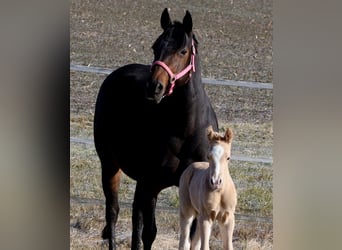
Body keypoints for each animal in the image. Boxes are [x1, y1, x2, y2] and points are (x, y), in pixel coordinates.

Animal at [92, 8, 218, 250]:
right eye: (155, 47)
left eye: (183, 51)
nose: (154, 87)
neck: (185, 130)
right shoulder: (152, 185)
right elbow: (149, 232)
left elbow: (194, 234)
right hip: (110, 165)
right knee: (113, 212)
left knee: (134, 214)